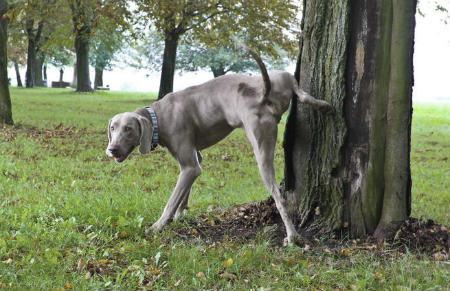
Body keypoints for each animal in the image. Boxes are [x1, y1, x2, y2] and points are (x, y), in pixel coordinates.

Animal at [104, 45, 330, 246]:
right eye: (113, 128)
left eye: (128, 129)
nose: (111, 150)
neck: (158, 116)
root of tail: (262, 93)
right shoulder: (193, 161)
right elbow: (185, 191)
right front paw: (180, 214)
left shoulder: (189, 166)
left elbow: (171, 200)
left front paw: (158, 226)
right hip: (280, 75)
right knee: (301, 91)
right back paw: (325, 106)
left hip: (261, 147)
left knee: (278, 196)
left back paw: (292, 236)